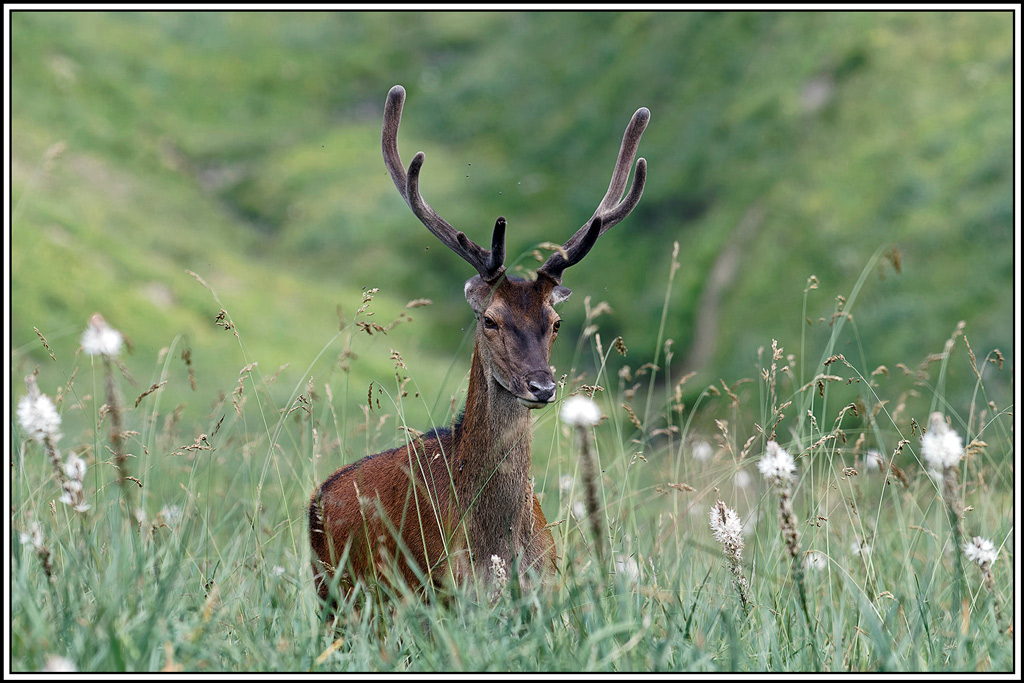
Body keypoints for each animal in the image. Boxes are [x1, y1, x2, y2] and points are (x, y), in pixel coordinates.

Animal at [309, 84, 649, 607]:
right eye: (490, 320)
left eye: (555, 322)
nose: (542, 386)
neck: (499, 547)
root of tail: (318, 496)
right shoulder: (442, 592)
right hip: (340, 597)